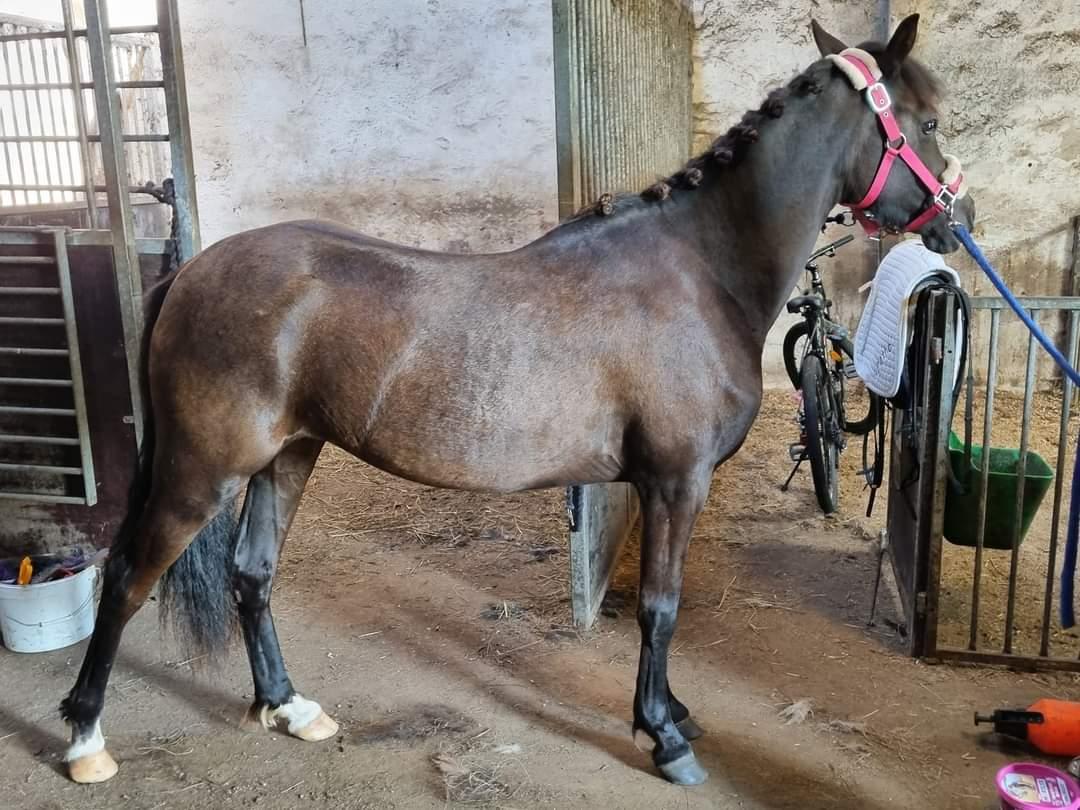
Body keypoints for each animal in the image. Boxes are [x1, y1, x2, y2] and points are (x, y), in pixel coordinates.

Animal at [61, 15, 974, 787]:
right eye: (928, 121)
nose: (954, 217)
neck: (702, 268)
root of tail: (192, 270)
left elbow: (661, 608)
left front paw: (672, 713)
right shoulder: (675, 481)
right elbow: (661, 607)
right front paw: (664, 735)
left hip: (286, 456)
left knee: (252, 574)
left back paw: (289, 707)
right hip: (202, 468)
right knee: (127, 578)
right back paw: (85, 741)